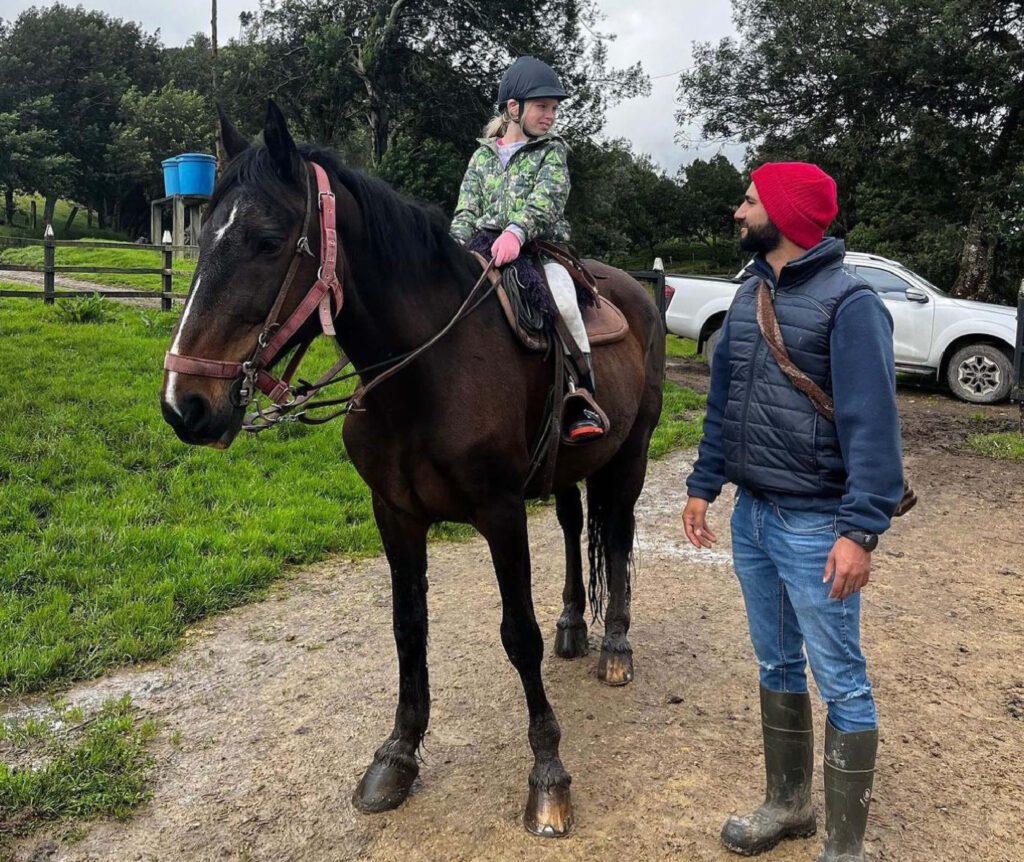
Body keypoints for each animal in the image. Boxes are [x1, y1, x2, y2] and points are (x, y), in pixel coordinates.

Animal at [161, 102, 663, 831]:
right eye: (201, 241)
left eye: (269, 240)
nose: (185, 405)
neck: (426, 370)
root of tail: (640, 295)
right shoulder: (394, 514)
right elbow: (408, 629)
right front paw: (396, 757)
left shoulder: (500, 513)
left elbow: (519, 635)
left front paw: (548, 775)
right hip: (568, 468)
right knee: (575, 528)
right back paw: (575, 626)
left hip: (632, 453)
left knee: (618, 535)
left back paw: (617, 648)